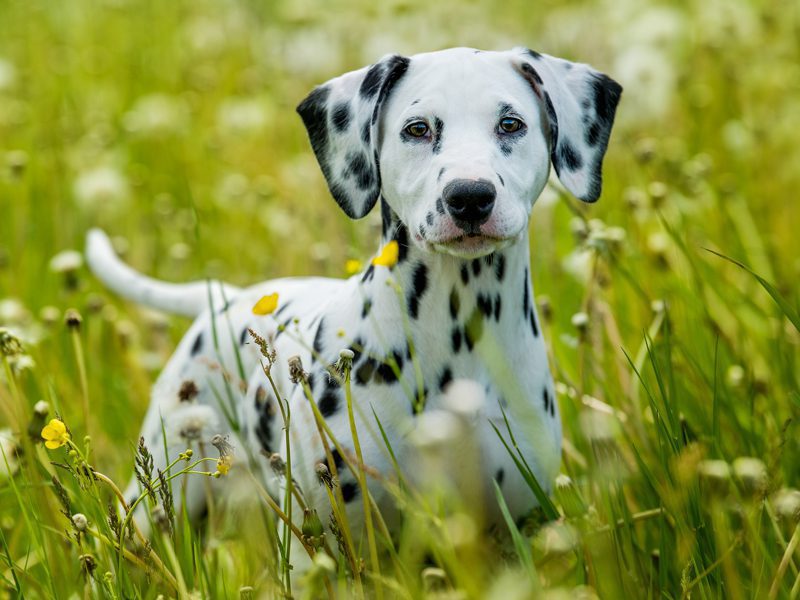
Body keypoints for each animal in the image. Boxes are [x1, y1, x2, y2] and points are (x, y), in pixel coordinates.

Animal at [89, 47, 624, 544]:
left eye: (511, 123)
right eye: (417, 129)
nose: (469, 196)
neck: (457, 342)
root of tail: (225, 299)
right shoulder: (321, 540)